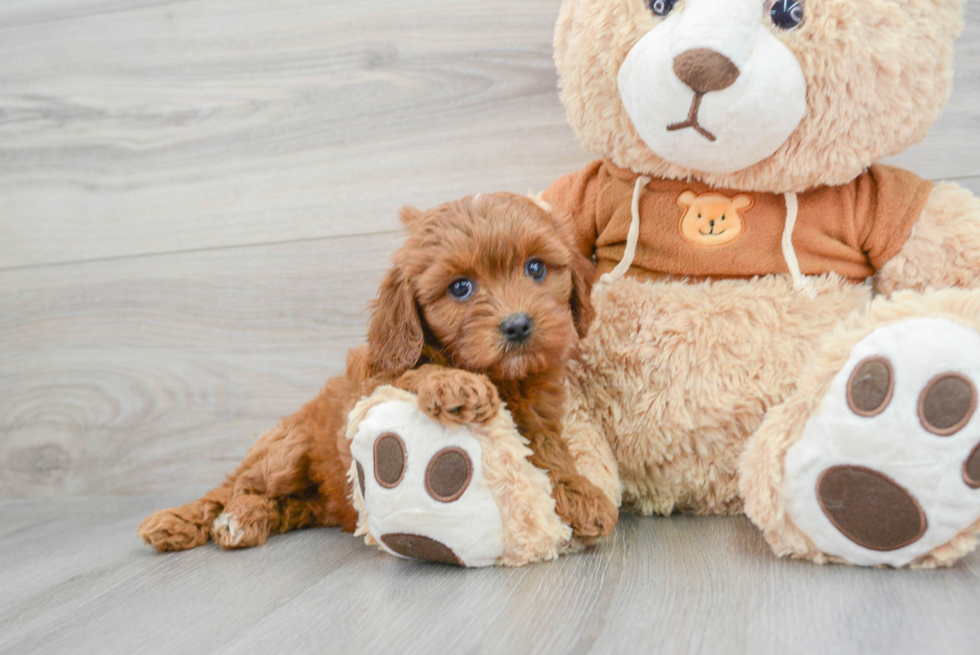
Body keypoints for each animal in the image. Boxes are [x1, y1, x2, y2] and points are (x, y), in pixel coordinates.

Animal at [140, 193, 612, 552]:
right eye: (460, 287)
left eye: (536, 268)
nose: (517, 325)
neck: (504, 377)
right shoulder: (372, 383)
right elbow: (414, 372)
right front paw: (454, 384)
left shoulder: (539, 418)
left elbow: (549, 453)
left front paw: (580, 492)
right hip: (287, 448)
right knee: (240, 487)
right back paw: (225, 518)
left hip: (312, 498)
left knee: (279, 503)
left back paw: (254, 520)